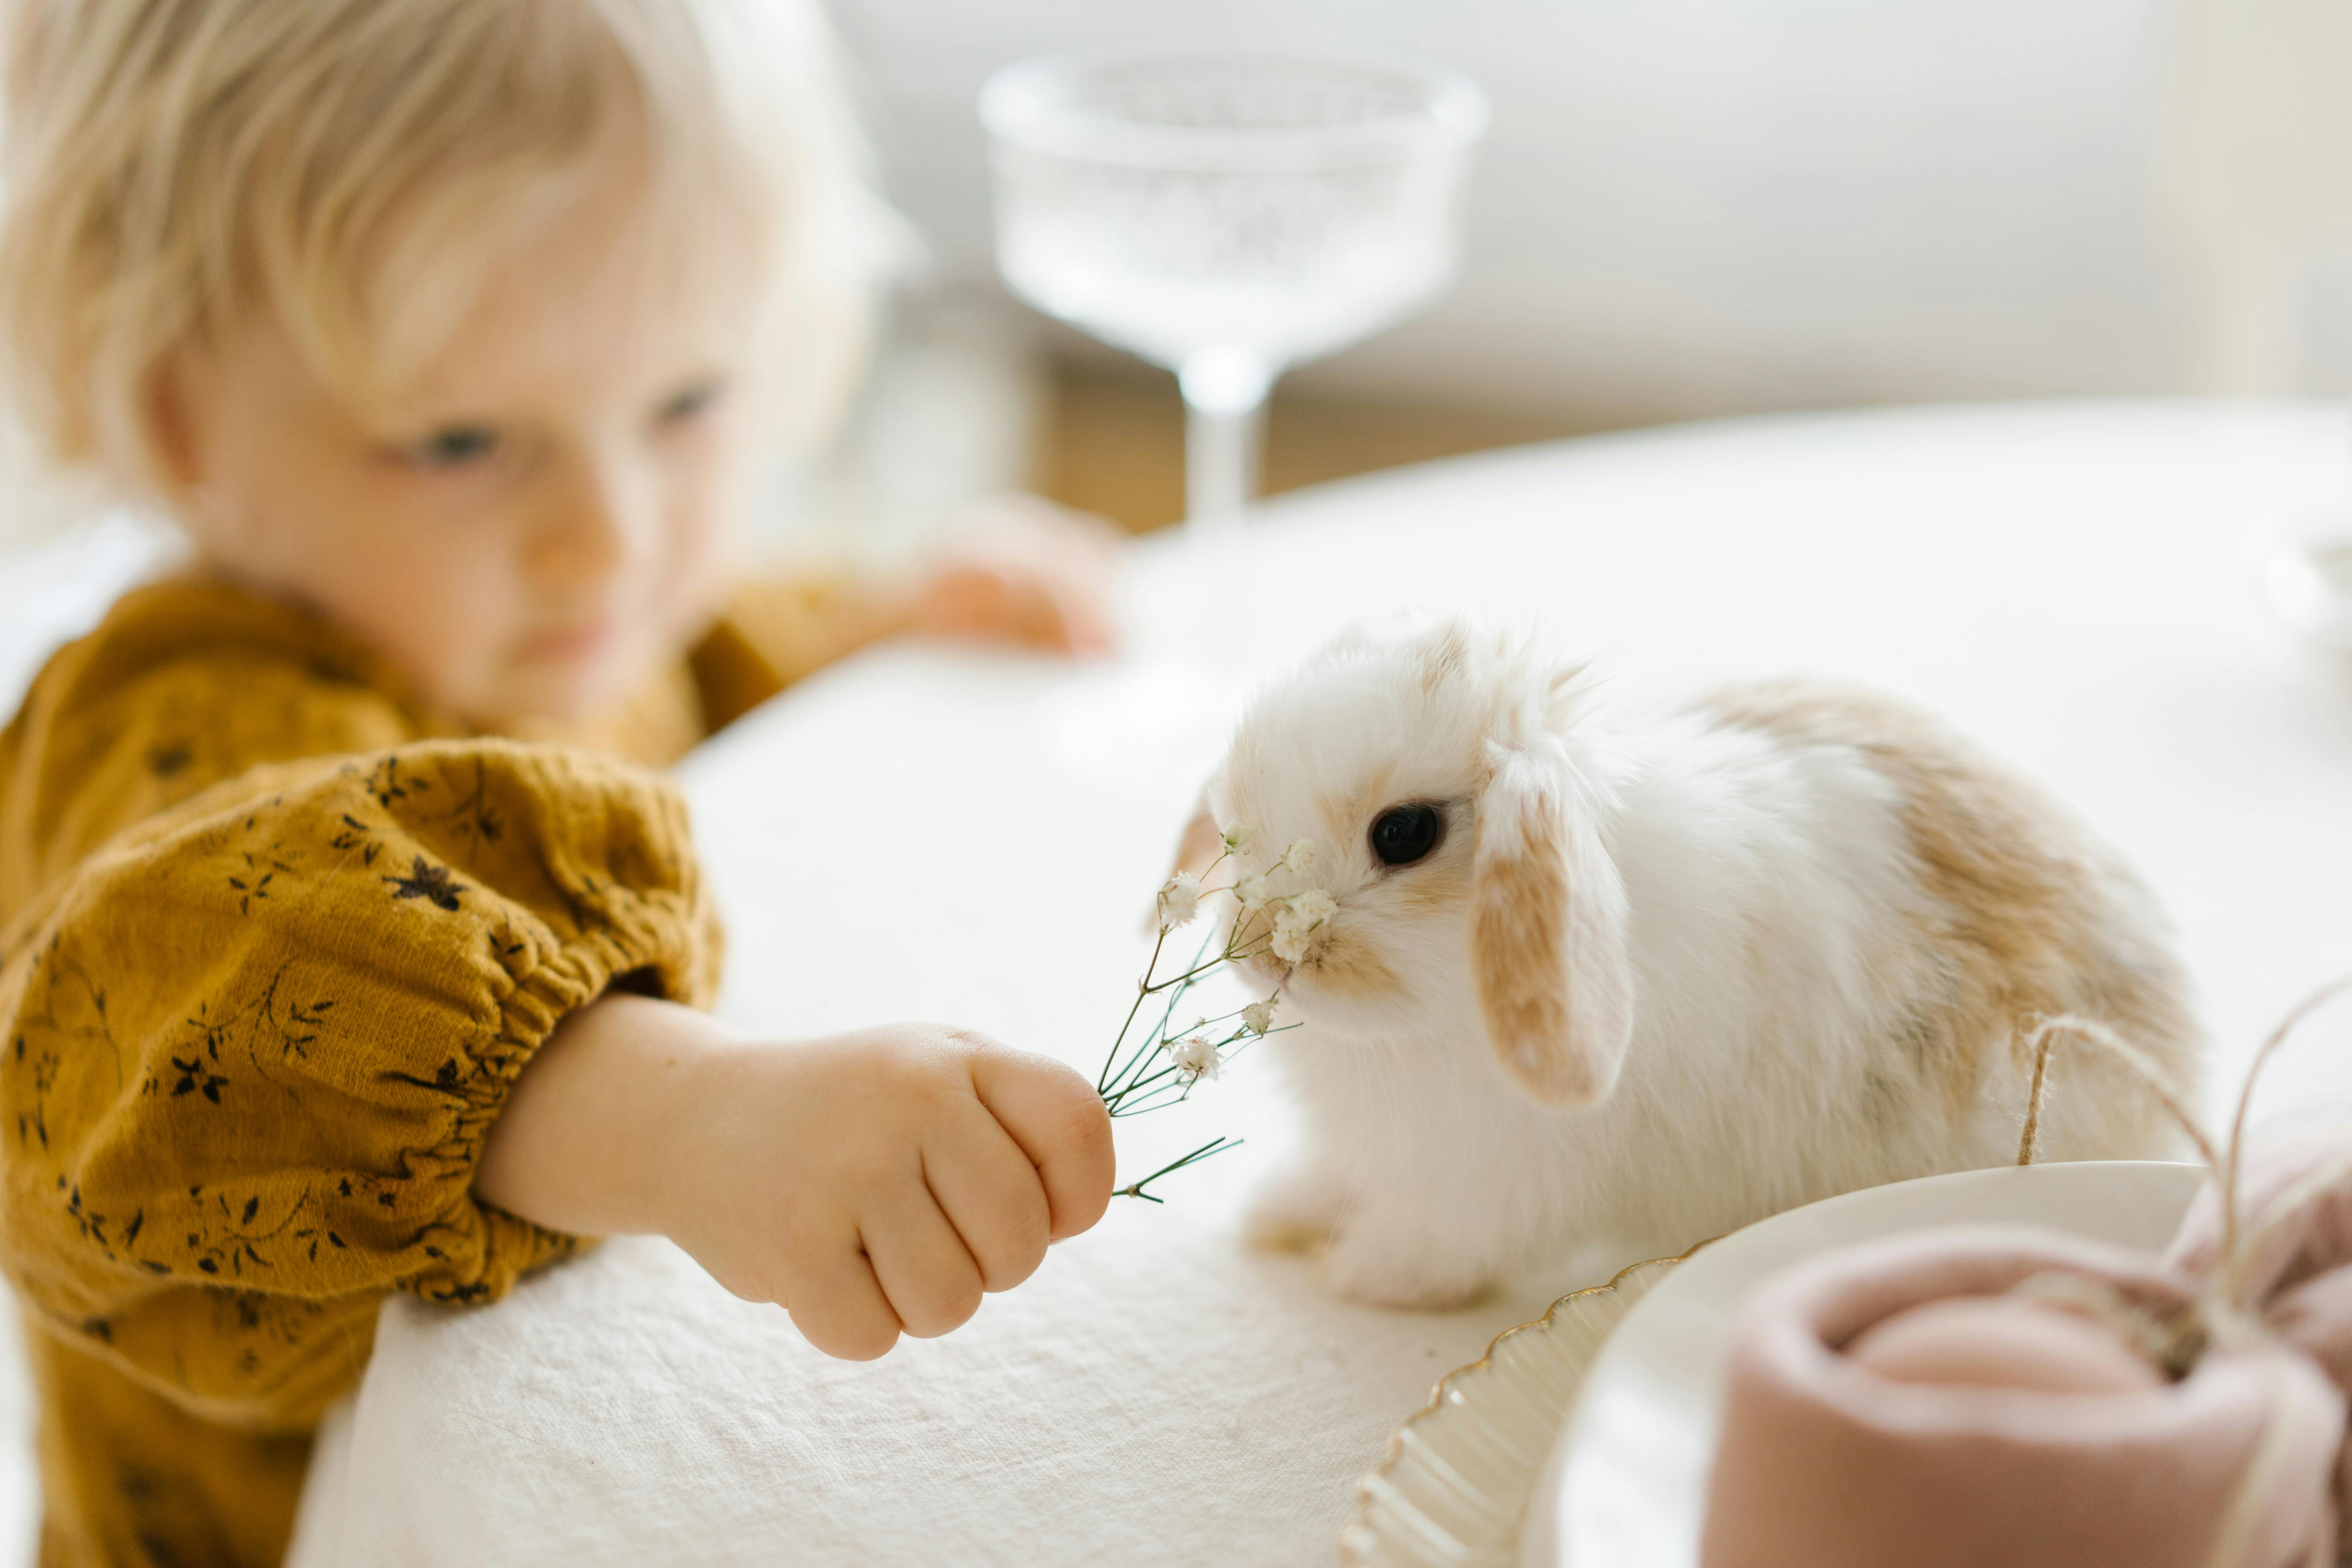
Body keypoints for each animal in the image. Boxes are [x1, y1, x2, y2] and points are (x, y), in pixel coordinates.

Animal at [1173, 616, 2205, 1310]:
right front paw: (1278, 1212)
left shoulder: (1494, 1181)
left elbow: (1438, 1241)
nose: (1255, 952)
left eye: (1405, 832)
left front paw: (1361, 1274)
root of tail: (2175, 1062)